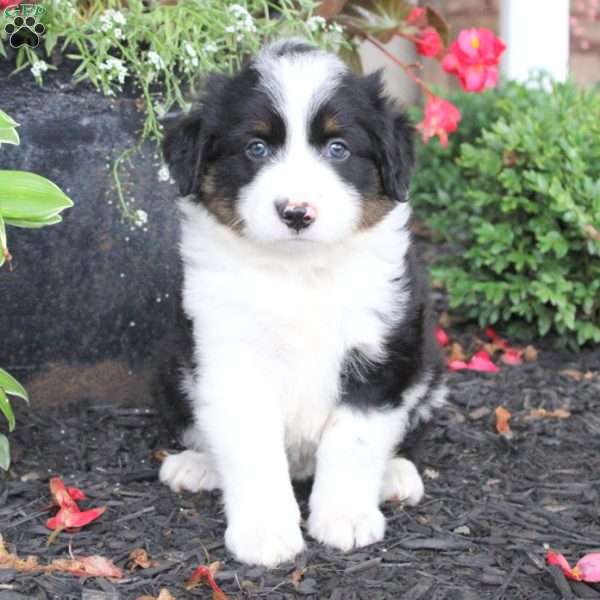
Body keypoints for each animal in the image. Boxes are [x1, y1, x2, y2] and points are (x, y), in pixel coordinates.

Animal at [155, 38, 446, 568]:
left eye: (338, 149)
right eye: (256, 147)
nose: (295, 212)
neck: (299, 272)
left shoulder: (380, 352)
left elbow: (353, 440)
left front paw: (345, 518)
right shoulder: (229, 356)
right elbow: (251, 448)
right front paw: (265, 532)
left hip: (428, 369)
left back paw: (394, 476)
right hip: (173, 368)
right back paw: (196, 465)